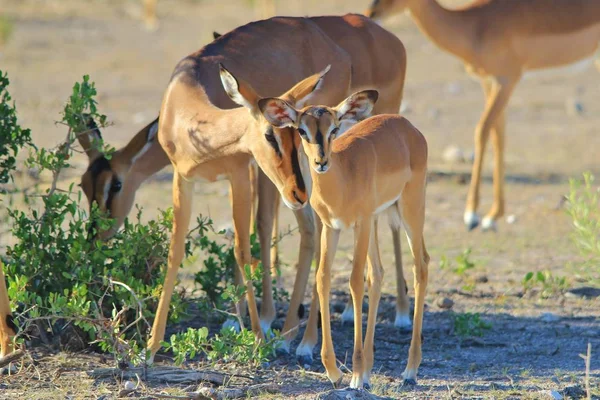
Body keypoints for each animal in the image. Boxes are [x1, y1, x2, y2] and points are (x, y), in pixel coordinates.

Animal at [260, 91, 428, 388]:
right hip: (378, 219)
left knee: (420, 267)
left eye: (334, 128)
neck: (343, 178)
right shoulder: (332, 227)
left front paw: (356, 376)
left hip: (409, 211)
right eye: (302, 130)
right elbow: (322, 279)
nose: (321, 162)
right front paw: (335, 371)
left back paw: (409, 371)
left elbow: (354, 282)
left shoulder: (359, 224)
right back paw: (372, 370)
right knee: (378, 274)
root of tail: (408, 127)